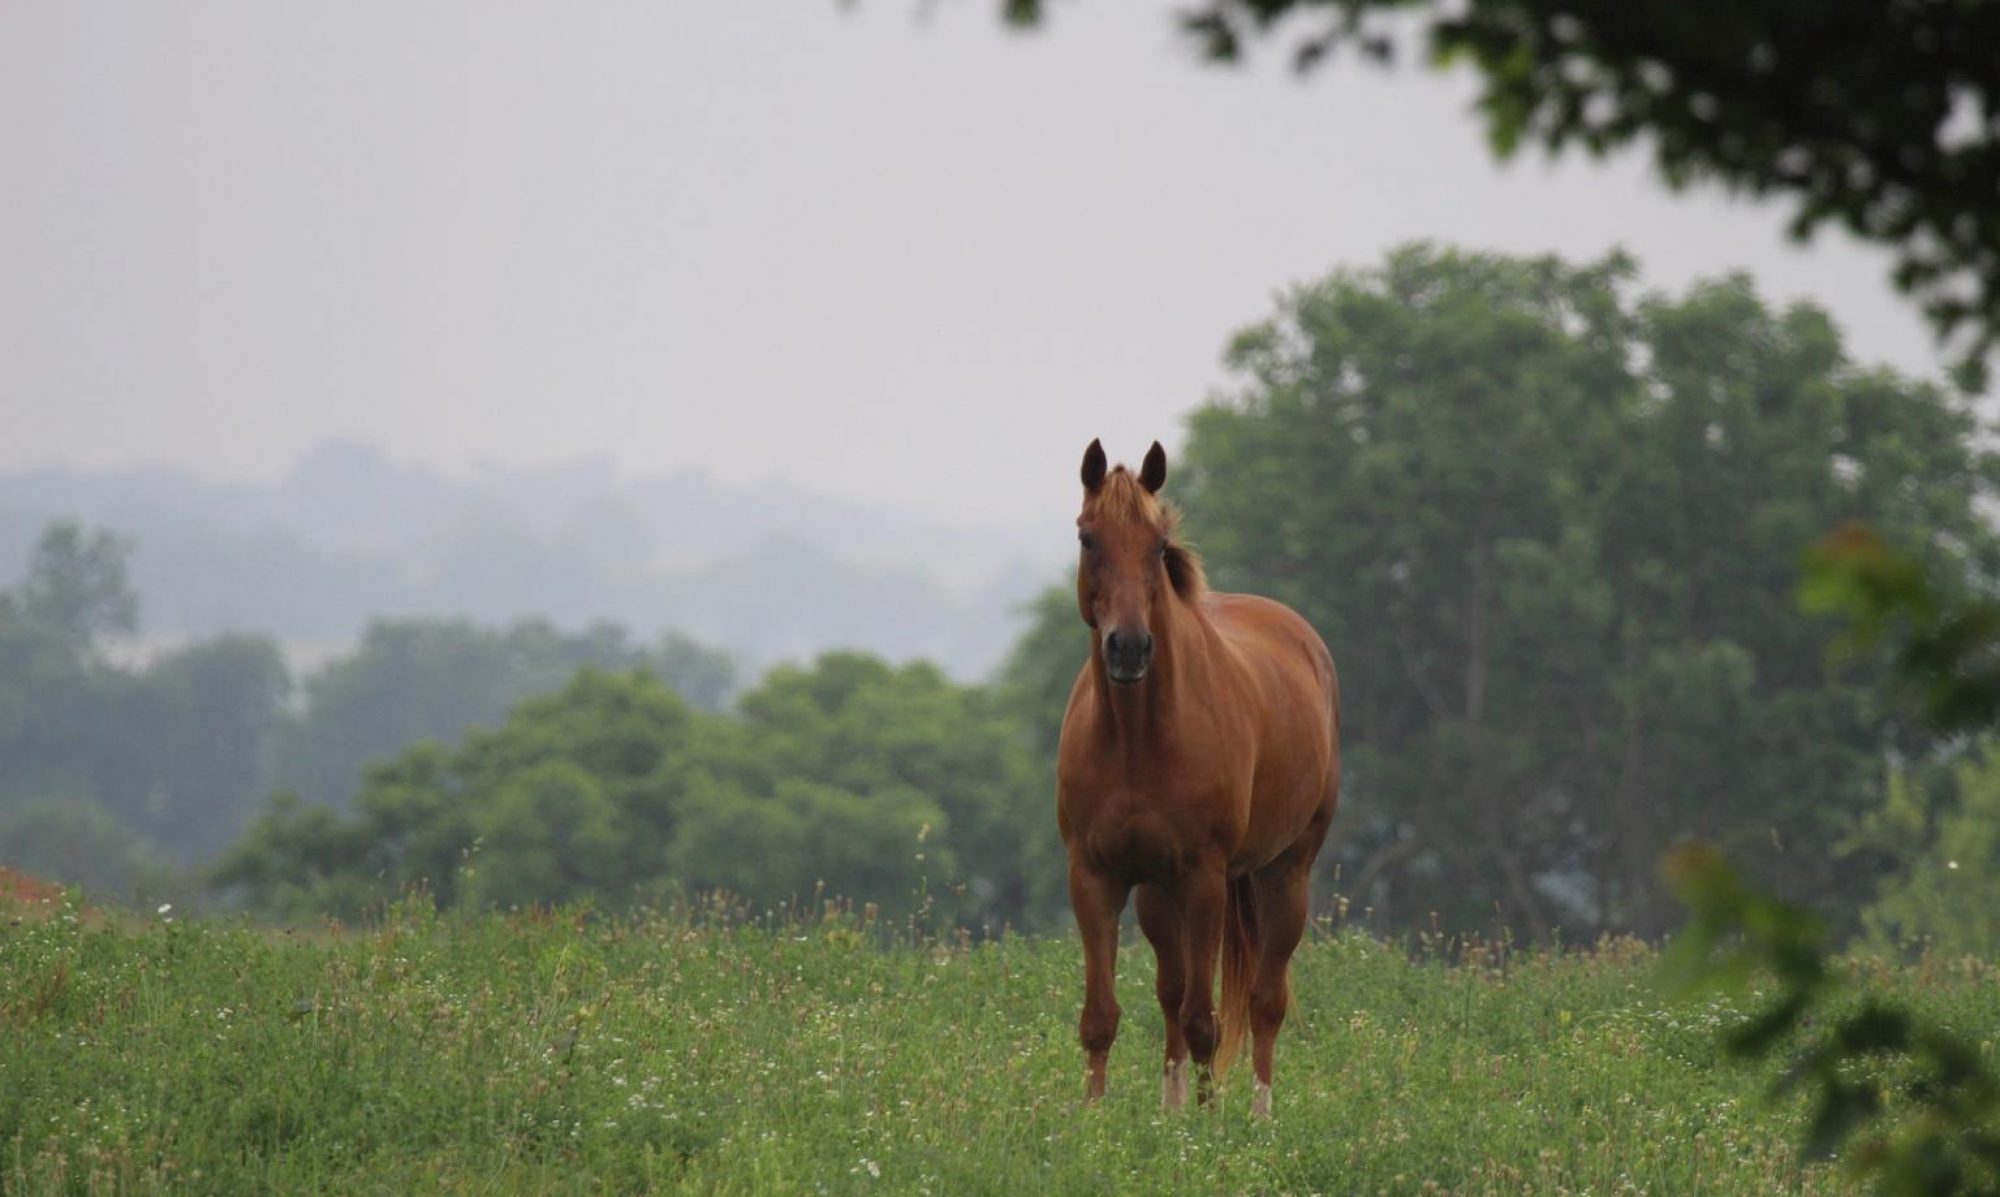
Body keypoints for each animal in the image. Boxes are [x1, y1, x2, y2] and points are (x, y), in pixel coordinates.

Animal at [1056, 440, 1336, 1128]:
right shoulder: (1093, 877)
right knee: (1171, 989)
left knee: (1264, 999)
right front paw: (1095, 1117)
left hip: (1285, 873)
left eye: (1158, 545)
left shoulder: (1205, 878)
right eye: (1087, 537)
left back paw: (1259, 1113)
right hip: (1159, 895)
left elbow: (1206, 1019)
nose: (1129, 648)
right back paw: (1172, 1102)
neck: (1136, 739)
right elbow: (1103, 1015)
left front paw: (1205, 1129)